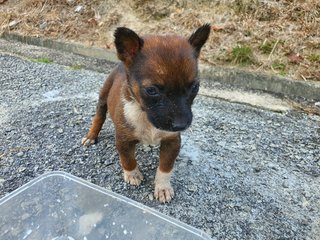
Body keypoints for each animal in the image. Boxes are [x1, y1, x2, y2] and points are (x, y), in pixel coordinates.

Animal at [82, 24, 210, 202]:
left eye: (195, 87)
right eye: (152, 90)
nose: (181, 125)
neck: (145, 117)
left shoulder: (172, 141)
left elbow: (166, 167)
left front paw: (163, 187)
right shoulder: (123, 140)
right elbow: (128, 159)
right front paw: (133, 175)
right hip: (103, 98)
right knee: (98, 117)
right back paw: (91, 136)